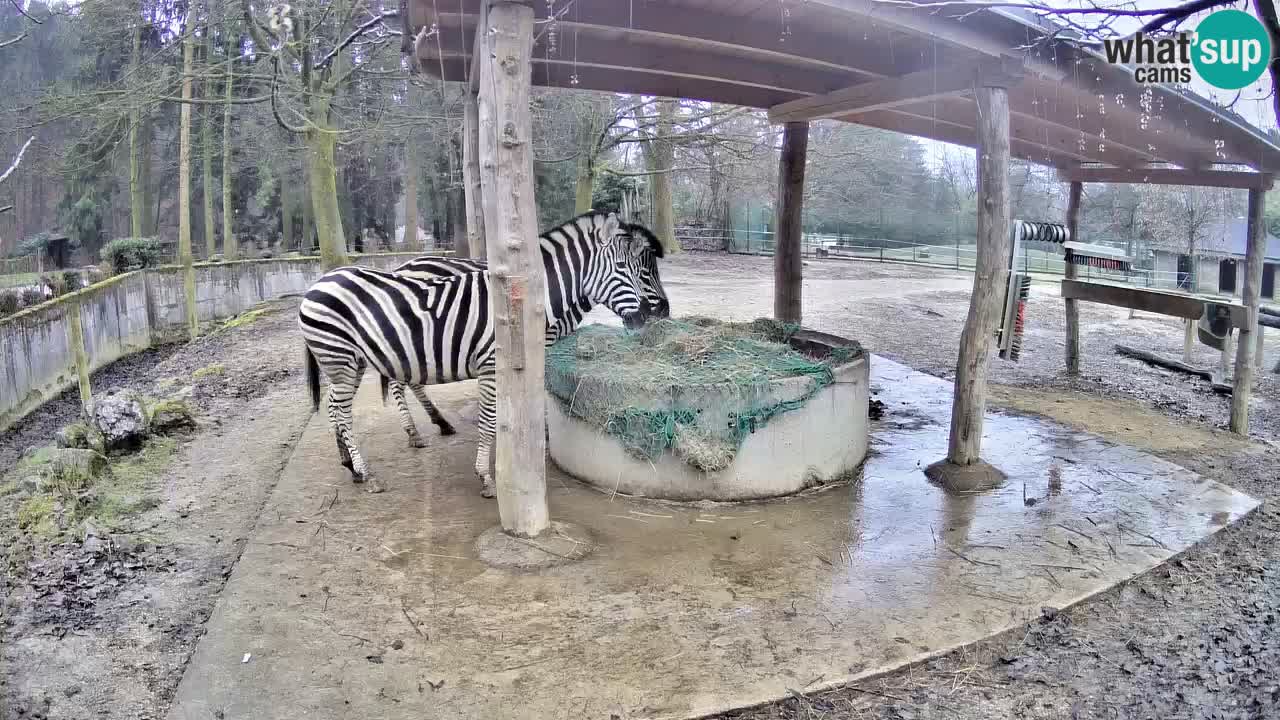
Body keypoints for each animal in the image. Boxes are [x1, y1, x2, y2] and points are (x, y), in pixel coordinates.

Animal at [376, 222, 670, 448]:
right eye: (644, 272)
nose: (663, 312)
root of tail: (402, 266)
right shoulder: (542, 339)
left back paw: (440, 422)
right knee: (400, 382)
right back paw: (414, 432)